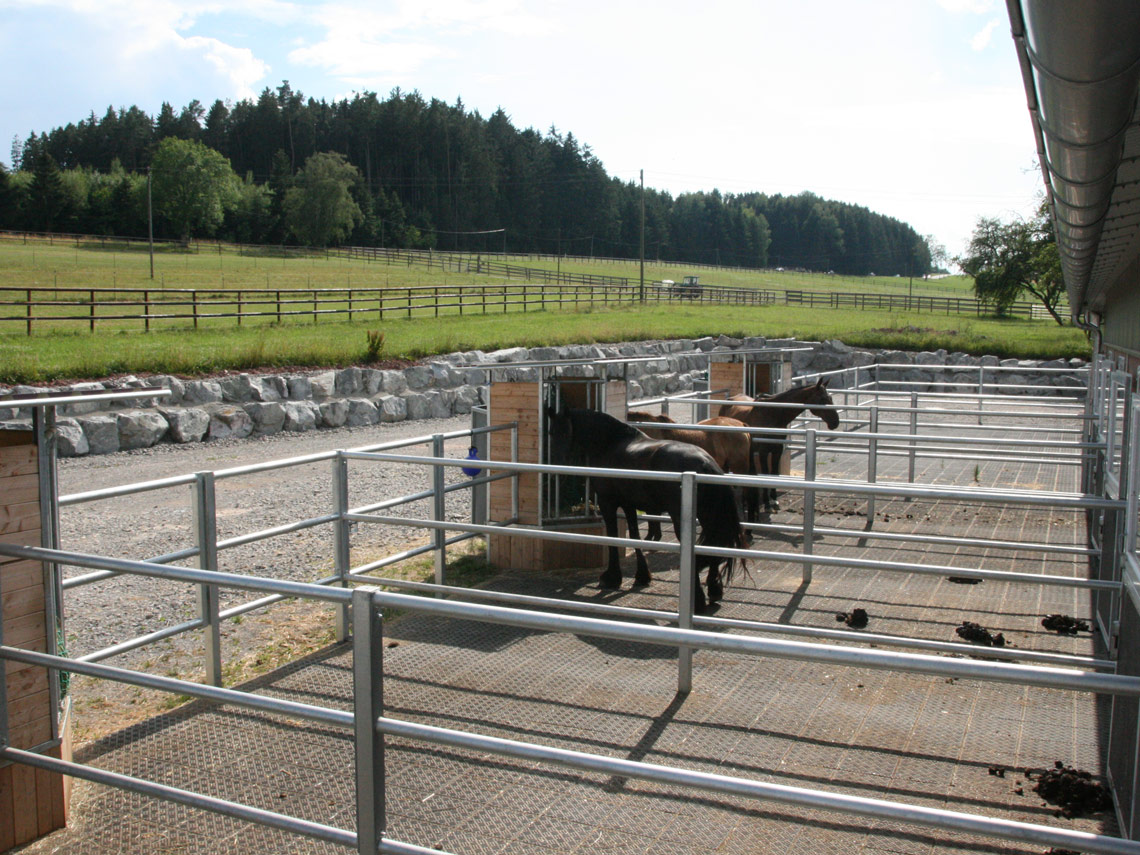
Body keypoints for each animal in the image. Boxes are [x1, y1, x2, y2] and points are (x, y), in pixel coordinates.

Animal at [715, 380, 843, 513]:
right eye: (822, 399)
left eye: (830, 398)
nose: (835, 422)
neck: (774, 414)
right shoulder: (763, 452)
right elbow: (766, 474)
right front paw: (767, 503)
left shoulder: (777, 450)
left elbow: (774, 472)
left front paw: (774, 501)